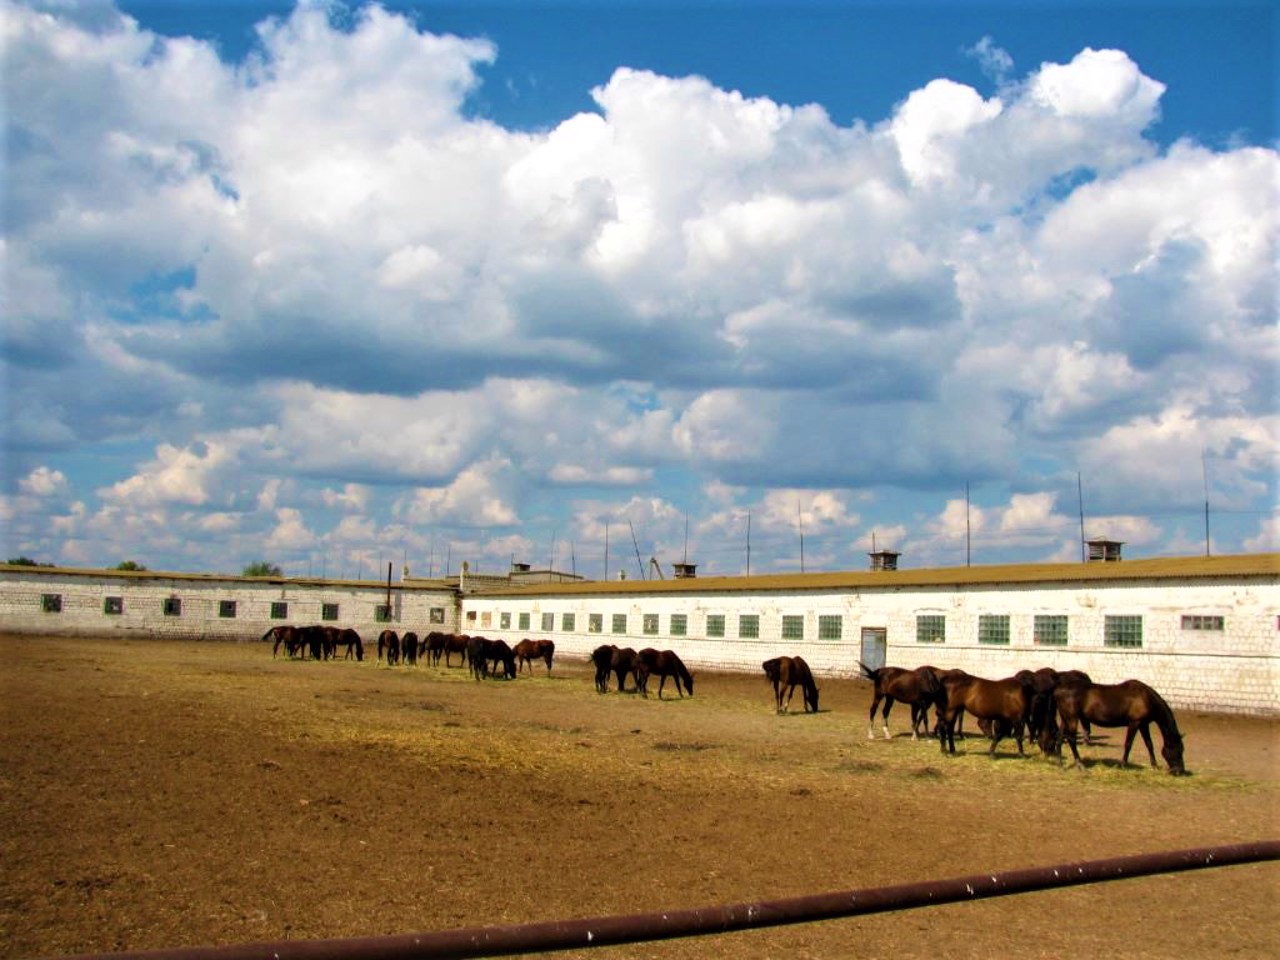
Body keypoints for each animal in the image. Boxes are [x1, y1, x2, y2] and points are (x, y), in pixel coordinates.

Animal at [1044, 680, 1182, 778]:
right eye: (1178, 750)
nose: (1179, 771)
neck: (1145, 697)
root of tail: (1057, 689)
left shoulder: (1143, 724)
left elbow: (1149, 744)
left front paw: (1154, 766)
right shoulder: (1134, 723)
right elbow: (1128, 744)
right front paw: (1123, 765)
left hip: (1065, 718)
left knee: (1059, 738)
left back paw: (1060, 765)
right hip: (1072, 718)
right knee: (1071, 740)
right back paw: (1081, 765)